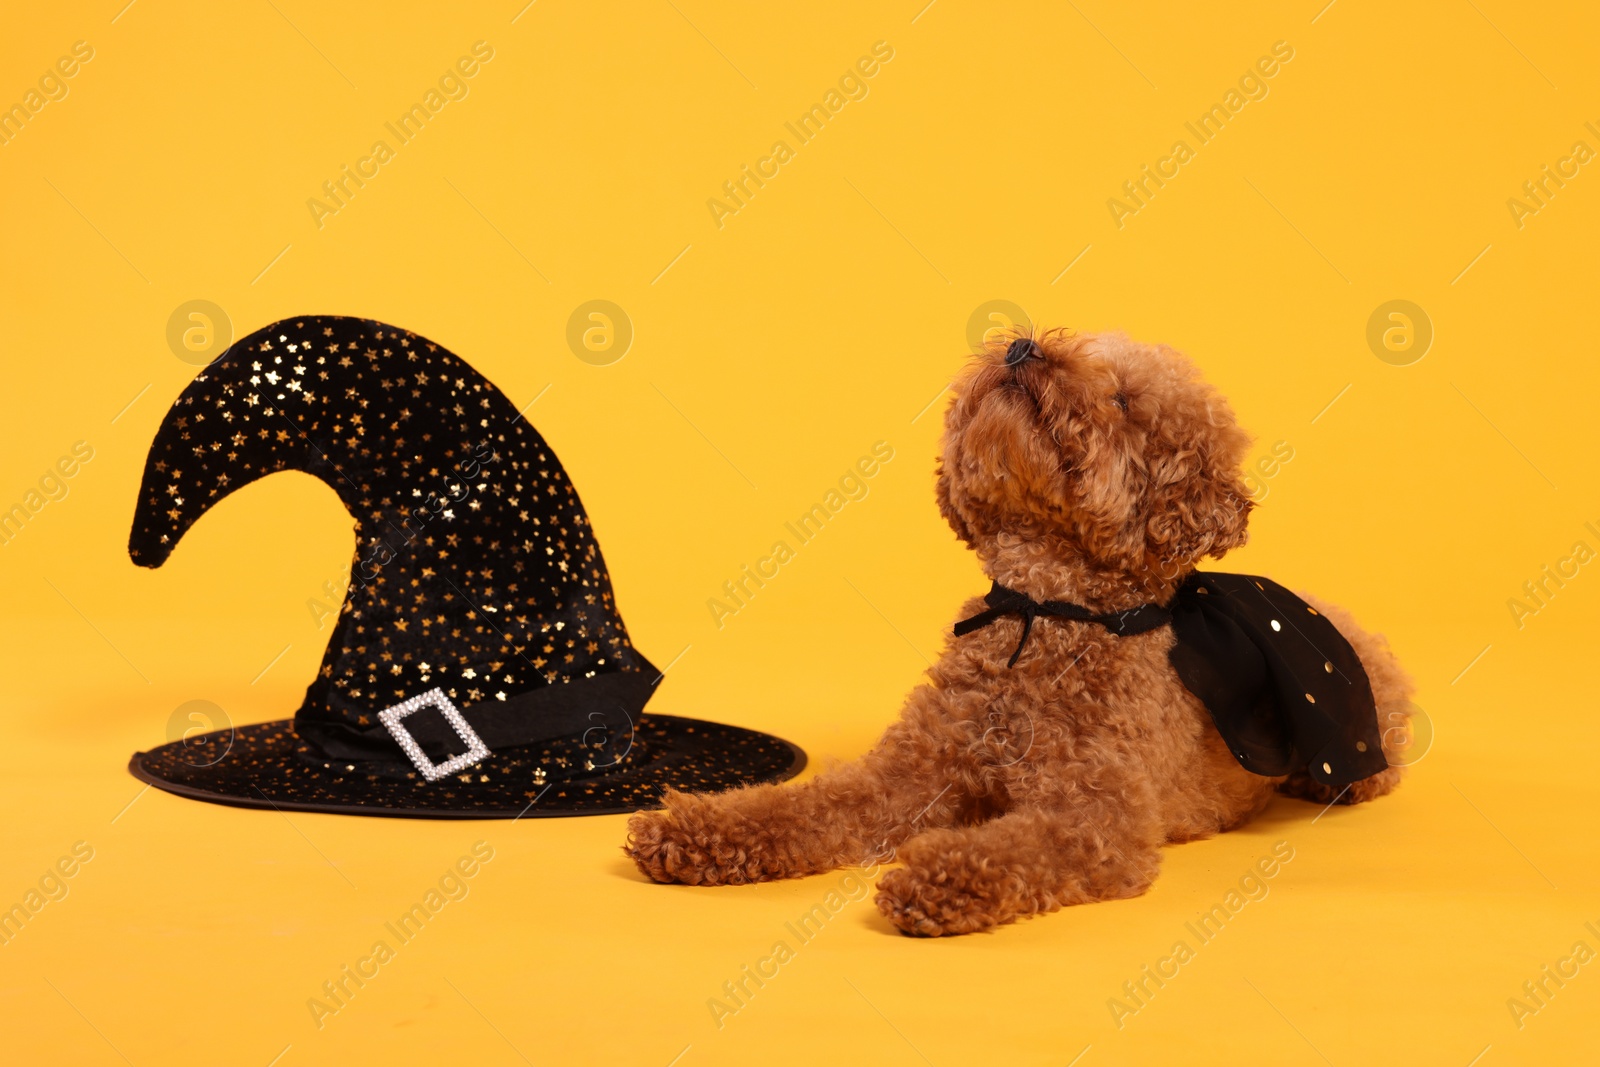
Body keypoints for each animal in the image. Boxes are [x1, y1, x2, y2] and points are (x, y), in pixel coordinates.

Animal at [624, 331, 1414, 934]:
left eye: (1124, 400)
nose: (1022, 345)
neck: (1044, 614)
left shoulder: (1096, 814)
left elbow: (1015, 845)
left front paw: (938, 877)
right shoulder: (909, 772)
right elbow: (806, 804)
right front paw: (696, 830)